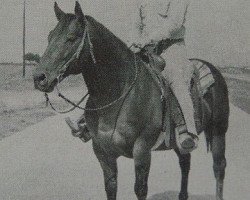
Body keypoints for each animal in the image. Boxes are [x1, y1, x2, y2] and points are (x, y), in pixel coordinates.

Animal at [34, 1, 229, 200]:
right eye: (49, 37)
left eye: (71, 38)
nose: (39, 78)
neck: (118, 93)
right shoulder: (103, 153)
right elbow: (111, 187)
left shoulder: (142, 151)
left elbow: (140, 189)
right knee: (185, 161)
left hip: (219, 131)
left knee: (219, 166)